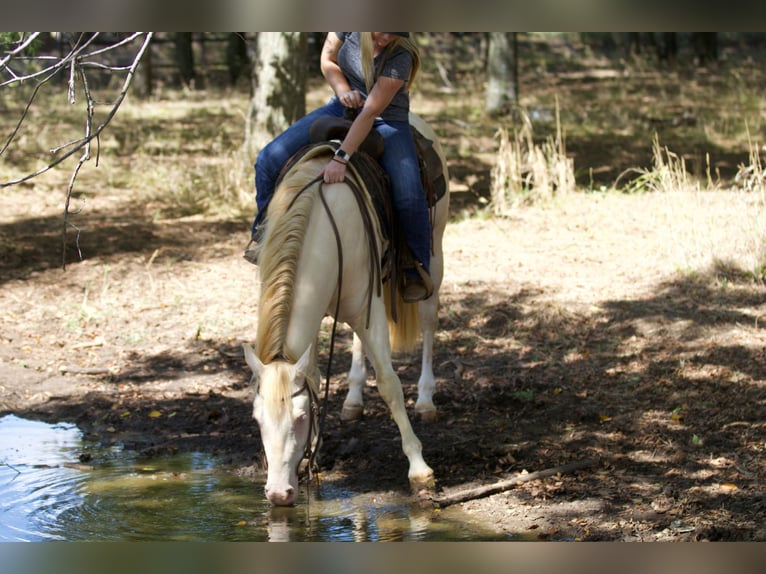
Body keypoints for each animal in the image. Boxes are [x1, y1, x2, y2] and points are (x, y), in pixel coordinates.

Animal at [244, 113, 450, 508]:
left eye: (301, 417)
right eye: (257, 420)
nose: (278, 493)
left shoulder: (371, 306)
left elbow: (389, 383)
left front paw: (420, 470)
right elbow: (317, 373)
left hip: (433, 255)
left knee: (429, 321)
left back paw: (426, 400)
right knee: (356, 340)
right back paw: (353, 400)